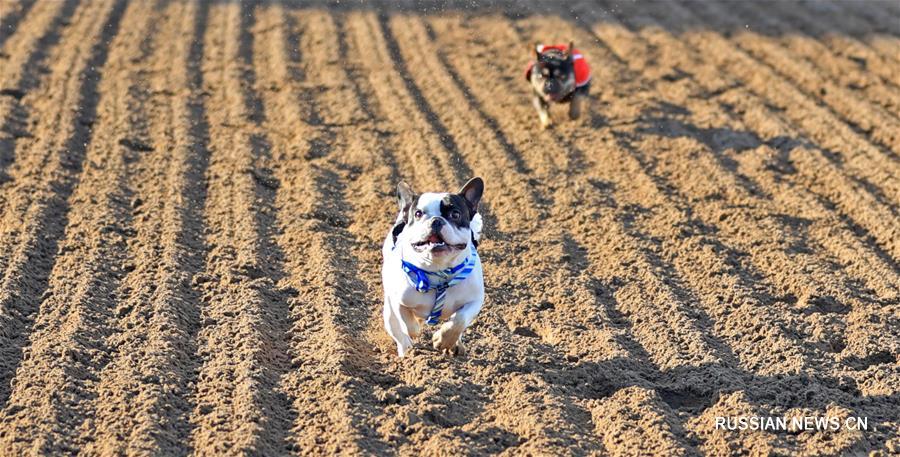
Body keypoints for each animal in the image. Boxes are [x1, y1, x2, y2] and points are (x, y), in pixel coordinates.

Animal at [382, 177, 486, 356]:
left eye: (455, 214)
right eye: (418, 214)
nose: (436, 220)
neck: (439, 271)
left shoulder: (474, 301)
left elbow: (459, 320)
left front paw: (443, 340)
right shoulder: (398, 300)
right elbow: (406, 322)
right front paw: (415, 329)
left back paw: (456, 345)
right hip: (388, 309)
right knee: (397, 330)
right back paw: (406, 352)